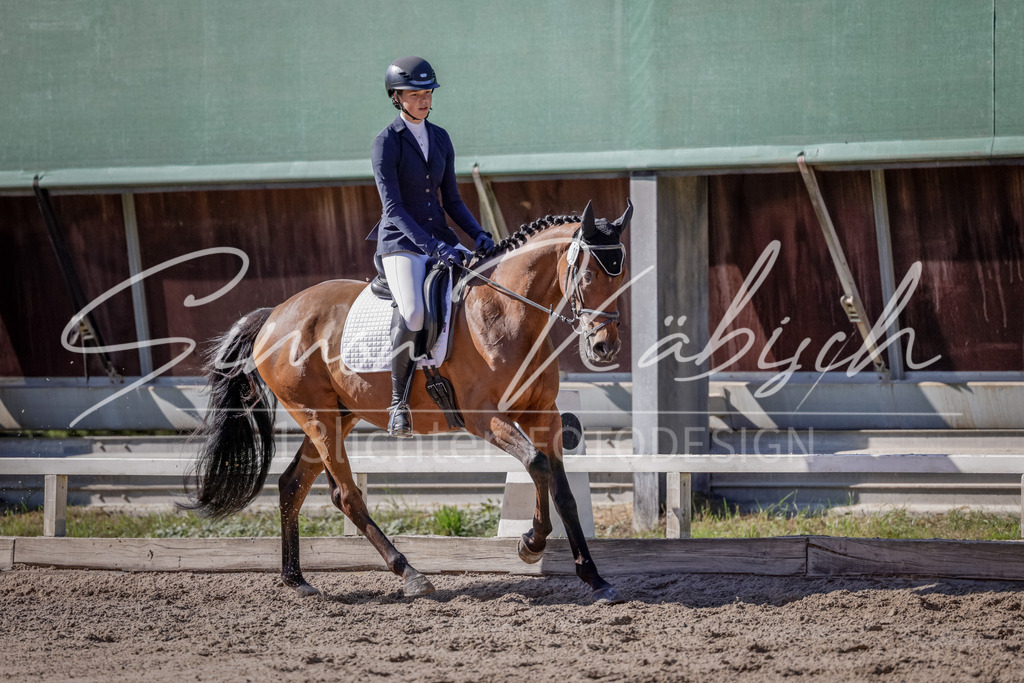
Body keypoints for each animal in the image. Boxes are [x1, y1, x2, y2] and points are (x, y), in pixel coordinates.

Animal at [182, 199, 634, 604]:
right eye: (587, 275)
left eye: (621, 277)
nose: (604, 347)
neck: (507, 313)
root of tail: (275, 313)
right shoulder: (484, 418)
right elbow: (537, 466)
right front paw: (531, 543)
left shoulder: (545, 415)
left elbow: (563, 491)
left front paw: (595, 578)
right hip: (317, 418)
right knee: (347, 496)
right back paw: (410, 574)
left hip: (338, 416)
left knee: (292, 484)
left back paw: (296, 580)